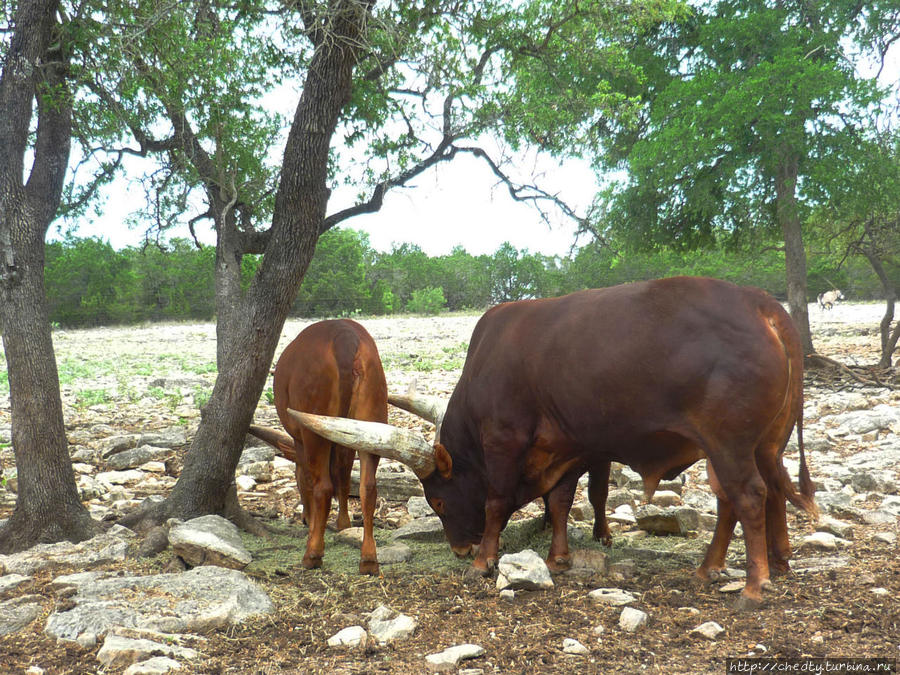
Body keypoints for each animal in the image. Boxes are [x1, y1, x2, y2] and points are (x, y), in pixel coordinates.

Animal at [246, 320, 386, 572]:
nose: (303, 518)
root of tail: (344, 335)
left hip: (313, 430)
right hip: (372, 423)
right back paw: (369, 558)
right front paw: (343, 523)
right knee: (368, 487)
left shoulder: (301, 439)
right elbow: (344, 475)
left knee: (323, 487)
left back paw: (313, 554)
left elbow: (308, 480)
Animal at [288, 278, 816, 608]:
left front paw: (483, 560)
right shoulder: (567, 445)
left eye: (436, 499)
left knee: (749, 496)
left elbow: (497, 500)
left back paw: (754, 585)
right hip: (752, 446)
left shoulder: (505, 439)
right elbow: (560, 499)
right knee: (741, 497)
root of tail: (761, 305)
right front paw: (558, 558)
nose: (458, 548)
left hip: (729, 443)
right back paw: (714, 568)